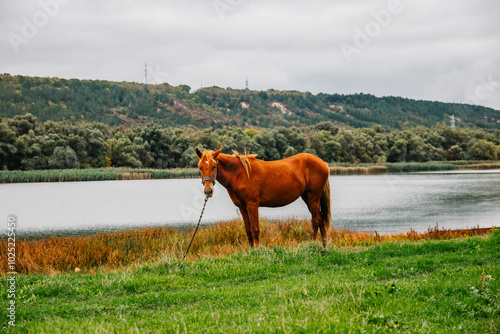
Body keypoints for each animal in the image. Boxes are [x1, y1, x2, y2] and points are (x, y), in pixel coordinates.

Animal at [196, 147, 332, 247]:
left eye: (214, 166)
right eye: (200, 167)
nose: (208, 190)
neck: (240, 174)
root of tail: (323, 163)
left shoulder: (252, 205)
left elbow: (255, 229)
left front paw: (257, 250)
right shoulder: (242, 207)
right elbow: (248, 230)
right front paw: (251, 251)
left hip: (313, 198)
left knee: (315, 221)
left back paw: (314, 244)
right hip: (307, 198)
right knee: (320, 219)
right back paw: (324, 246)